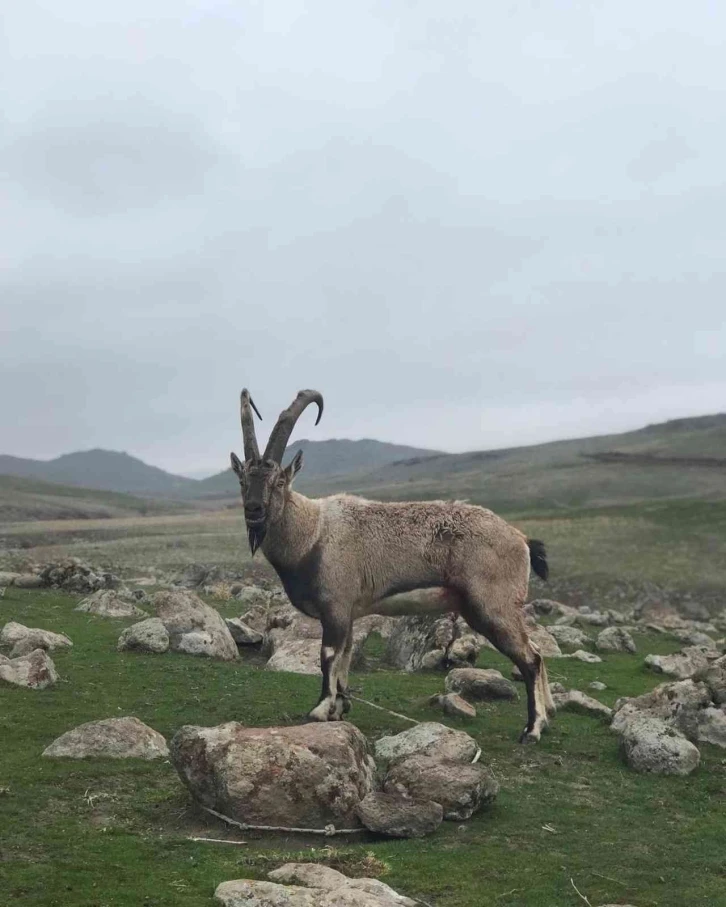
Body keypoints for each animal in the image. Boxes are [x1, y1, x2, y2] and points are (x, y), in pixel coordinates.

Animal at [230, 386, 556, 740]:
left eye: (278, 481)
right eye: (242, 480)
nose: (254, 510)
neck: (313, 533)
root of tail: (521, 539)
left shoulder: (336, 607)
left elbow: (328, 655)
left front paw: (319, 710)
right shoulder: (350, 613)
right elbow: (345, 658)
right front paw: (340, 708)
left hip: (492, 607)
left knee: (530, 659)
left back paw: (532, 729)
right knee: (537, 651)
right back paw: (547, 716)